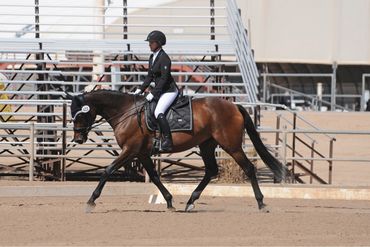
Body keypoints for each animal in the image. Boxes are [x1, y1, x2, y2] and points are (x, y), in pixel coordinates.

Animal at [66, 89, 284, 213]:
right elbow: (154, 177)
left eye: (80, 115)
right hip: (207, 145)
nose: (78, 139)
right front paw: (170, 202)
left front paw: (91, 201)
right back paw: (190, 202)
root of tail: (234, 105)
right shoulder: (142, 153)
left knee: (248, 168)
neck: (126, 112)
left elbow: (108, 170)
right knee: (211, 171)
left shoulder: (131, 150)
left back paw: (261, 203)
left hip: (231, 145)